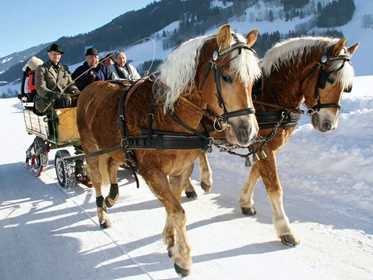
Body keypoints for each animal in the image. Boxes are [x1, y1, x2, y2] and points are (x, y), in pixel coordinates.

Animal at [76, 24, 260, 278]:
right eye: (226, 77)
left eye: (254, 79)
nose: (248, 132)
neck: (166, 113)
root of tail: (89, 88)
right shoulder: (153, 173)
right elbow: (178, 212)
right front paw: (183, 259)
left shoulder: (181, 170)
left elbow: (172, 207)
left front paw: (170, 240)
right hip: (91, 147)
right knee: (95, 179)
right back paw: (102, 214)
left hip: (116, 146)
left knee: (113, 164)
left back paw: (112, 197)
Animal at [185, 36, 358, 246]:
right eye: (330, 79)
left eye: (347, 88)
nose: (329, 124)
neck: (271, 95)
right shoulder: (264, 145)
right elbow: (274, 187)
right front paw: (285, 229)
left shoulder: (267, 145)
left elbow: (256, 172)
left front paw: (245, 201)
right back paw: (201, 181)